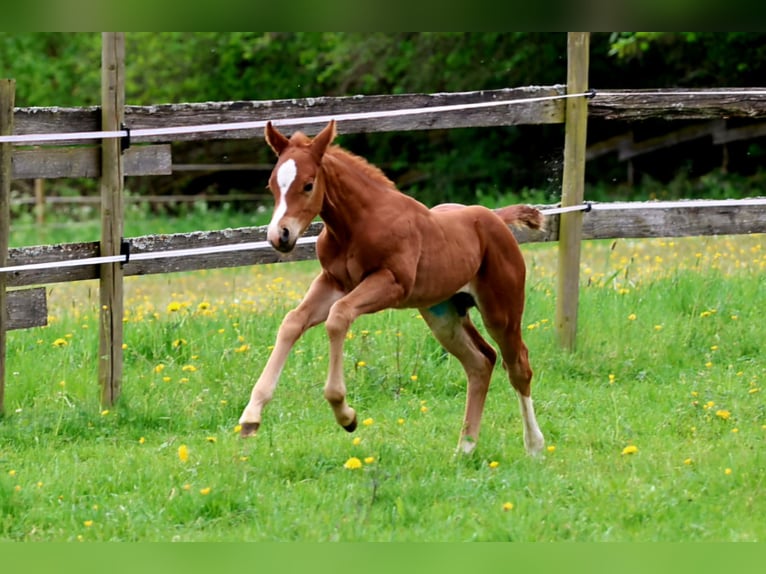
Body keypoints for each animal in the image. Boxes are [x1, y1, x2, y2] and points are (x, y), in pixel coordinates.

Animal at [238, 119, 545, 455]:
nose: (279, 235)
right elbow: (293, 321)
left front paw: (346, 415)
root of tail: (495, 218)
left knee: (518, 366)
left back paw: (534, 446)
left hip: (501, 310)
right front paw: (251, 416)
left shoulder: (391, 283)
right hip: (444, 314)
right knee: (481, 362)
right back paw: (464, 450)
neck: (357, 225)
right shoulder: (333, 282)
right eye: (272, 185)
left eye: (308, 185)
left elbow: (338, 317)